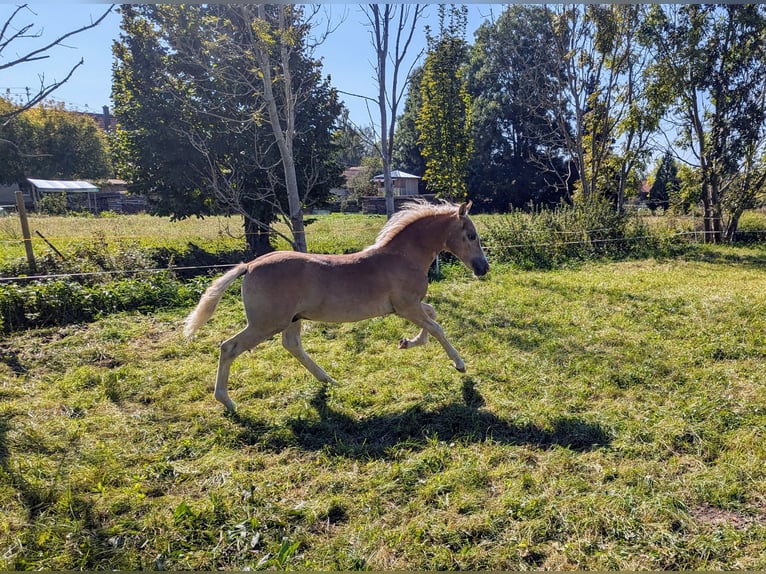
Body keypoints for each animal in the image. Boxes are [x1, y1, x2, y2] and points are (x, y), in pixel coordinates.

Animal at [183, 200, 488, 412]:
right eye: (472, 235)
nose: (483, 268)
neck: (403, 257)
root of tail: (249, 266)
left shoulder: (410, 306)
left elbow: (433, 316)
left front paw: (406, 342)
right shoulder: (407, 306)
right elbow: (436, 327)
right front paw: (460, 365)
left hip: (292, 319)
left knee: (292, 345)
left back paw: (329, 381)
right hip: (265, 324)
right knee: (229, 347)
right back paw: (228, 402)